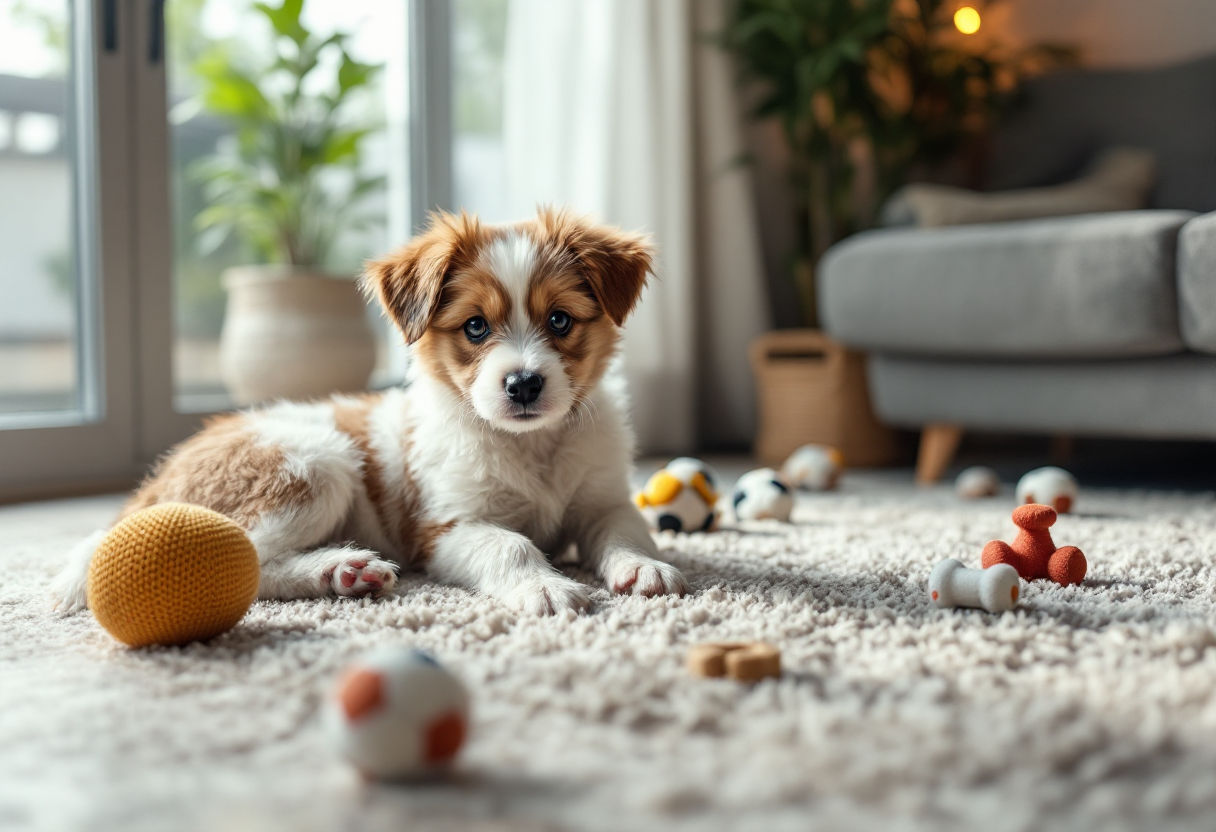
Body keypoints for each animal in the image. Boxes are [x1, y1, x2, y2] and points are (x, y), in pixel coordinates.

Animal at [49, 209, 695, 610]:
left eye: (559, 320)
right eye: (476, 327)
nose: (523, 385)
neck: (529, 446)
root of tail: (153, 486)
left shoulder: (602, 497)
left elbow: (626, 528)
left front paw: (643, 568)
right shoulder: (444, 527)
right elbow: (510, 544)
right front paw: (544, 587)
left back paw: (342, 574)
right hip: (316, 462)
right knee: (239, 558)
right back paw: (337, 567)